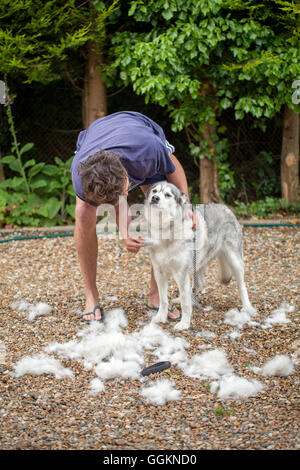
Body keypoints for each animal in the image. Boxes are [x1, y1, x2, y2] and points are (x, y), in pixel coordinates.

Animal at [144, 180, 256, 330]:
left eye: (167, 195)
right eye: (154, 191)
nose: (155, 198)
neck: (166, 231)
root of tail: (225, 207)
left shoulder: (181, 273)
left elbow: (185, 305)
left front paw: (184, 324)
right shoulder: (159, 273)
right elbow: (163, 300)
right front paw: (161, 317)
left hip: (234, 261)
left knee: (242, 285)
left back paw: (247, 307)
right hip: (198, 262)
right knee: (198, 283)